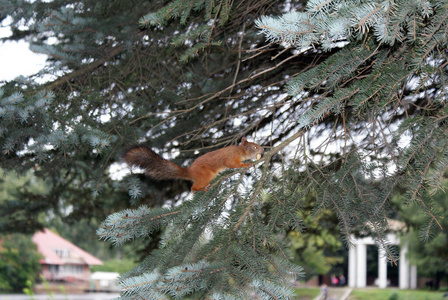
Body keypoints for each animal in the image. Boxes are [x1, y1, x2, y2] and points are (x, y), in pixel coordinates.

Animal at [123, 138, 262, 192]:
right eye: (254, 147)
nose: (263, 149)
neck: (239, 150)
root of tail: (190, 171)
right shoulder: (231, 157)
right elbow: (231, 164)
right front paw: (245, 165)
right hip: (205, 176)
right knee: (193, 188)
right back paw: (201, 189)